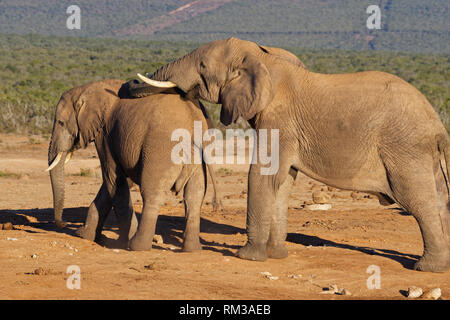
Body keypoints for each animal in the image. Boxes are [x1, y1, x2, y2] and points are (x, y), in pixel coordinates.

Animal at [47, 79, 220, 251]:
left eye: (61, 123)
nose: (63, 223)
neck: (89, 88)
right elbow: (114, 183)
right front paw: (85, 235)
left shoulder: (105, 135)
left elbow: (113, 180)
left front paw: (122, 242)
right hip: (197, 158)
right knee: (194, 196)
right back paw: (192, 249)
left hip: (161, 148)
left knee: (152, 193)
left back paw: (136, 246)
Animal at [134, 37, 450, 272]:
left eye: (202, 65)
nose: (132, 84)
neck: (264, 59)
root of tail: (437, 126)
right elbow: (283, 182)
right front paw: (277, 255)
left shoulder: (279, 120)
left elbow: (262, 176)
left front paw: (247, 257)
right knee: (439, 199)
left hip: (405, 148)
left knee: (418, 201)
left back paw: (427, 268)